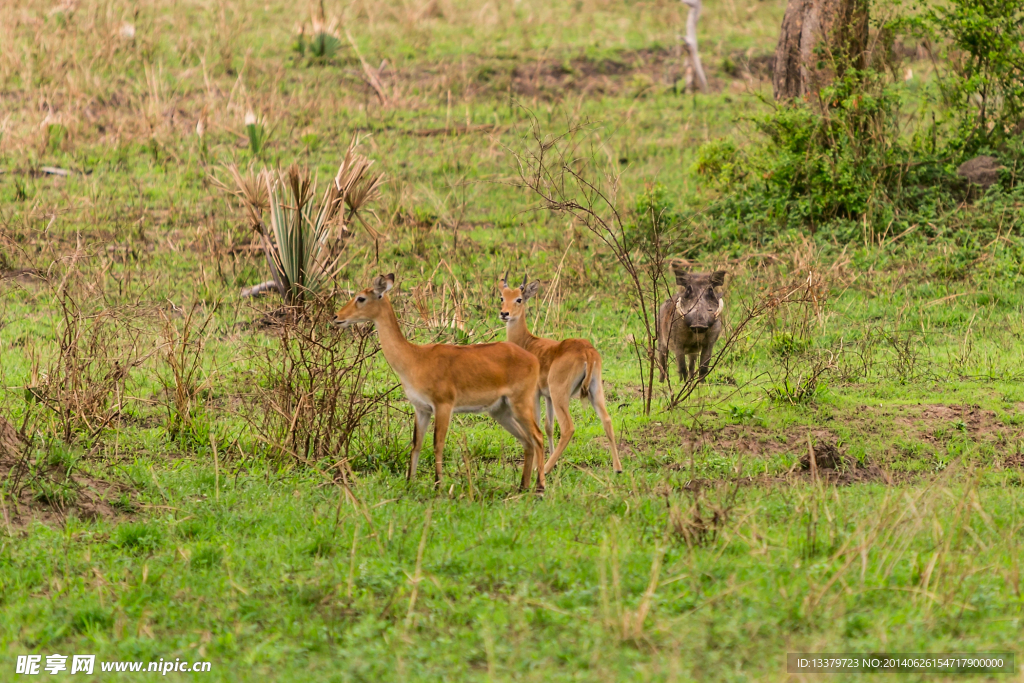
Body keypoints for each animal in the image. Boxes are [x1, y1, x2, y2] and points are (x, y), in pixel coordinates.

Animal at [331, 272, 548, 491]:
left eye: (361, 298)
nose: (336, 317)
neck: (415, 358)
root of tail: (532, 358)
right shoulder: (421, 409)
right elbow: (416, 444)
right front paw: (410, 483)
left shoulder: (443, 406)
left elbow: (438, 444)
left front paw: (438, 485)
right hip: (501, 411)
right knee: (527, 441)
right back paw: (523, 487)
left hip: (520, 404)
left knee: (538, 437)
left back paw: (540, 487)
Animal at [497, 272, 622, 475]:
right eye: (502, 297)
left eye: (519, 299)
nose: (504, 313)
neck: (527, 343)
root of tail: (587, 351)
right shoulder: (547, 396)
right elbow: (548, 426)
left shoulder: (535, 394)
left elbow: (537, 426)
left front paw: (538, 465)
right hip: (594, 391)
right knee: (607, 420)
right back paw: (617, 468)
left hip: (560, 394)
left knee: (568, 428)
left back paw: (546, 469)